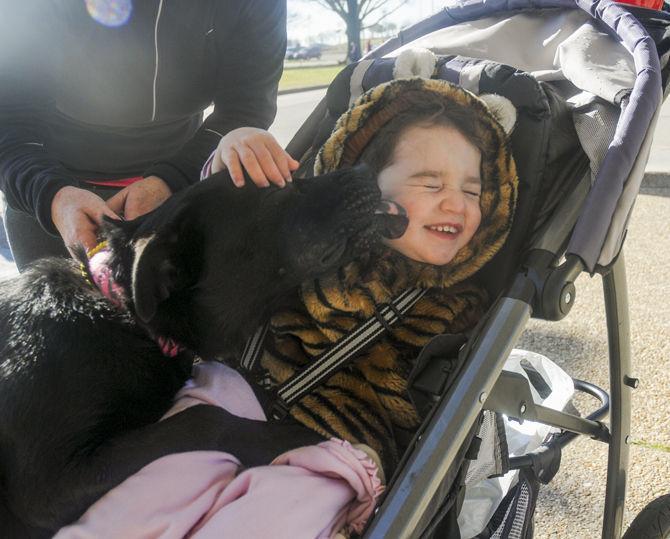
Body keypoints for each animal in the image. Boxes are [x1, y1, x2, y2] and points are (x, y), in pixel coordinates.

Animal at [0, 168, 410, 536]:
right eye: (278, 190)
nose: (366, 169)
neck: (127, 317)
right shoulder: (46, 490)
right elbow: (205, 416)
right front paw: (288, 438)